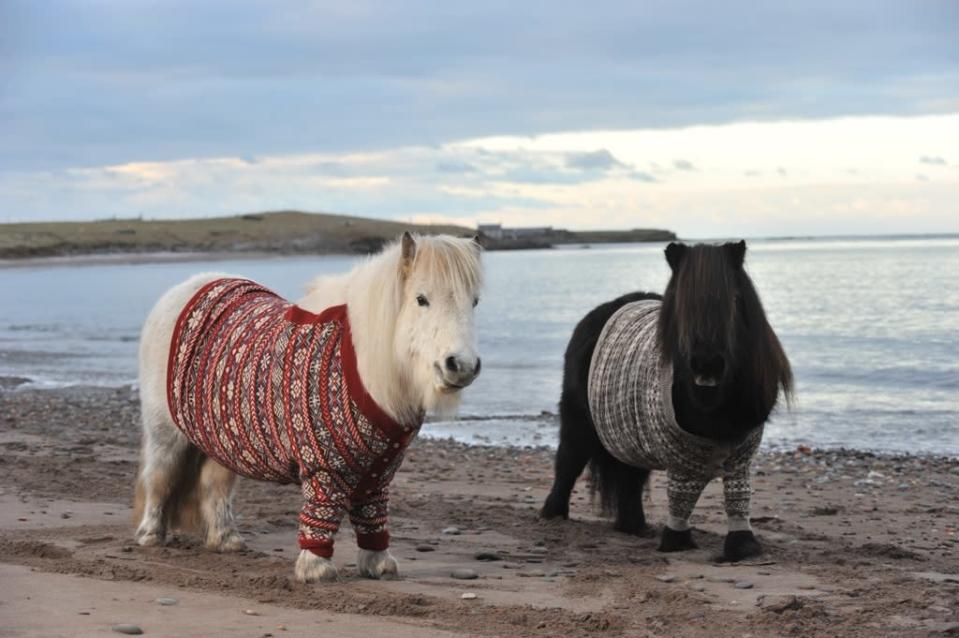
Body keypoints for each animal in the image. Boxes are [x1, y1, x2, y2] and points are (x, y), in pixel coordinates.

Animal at [131, 232, 484, 584]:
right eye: (421, 299)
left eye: (475, 301)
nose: (461, 365)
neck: (360, 362)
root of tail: (184, 289)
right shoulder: (324, 467)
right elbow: (321, 512)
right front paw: (316, 567)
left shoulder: (378, 471)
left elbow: (373, 515)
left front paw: (378, 563)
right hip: (165, 433)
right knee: (160, 476)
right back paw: (150, 535)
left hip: (223, 439)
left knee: (214, 484)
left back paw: (225, 539)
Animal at [540, 240, 796, 560]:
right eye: (681, 305)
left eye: (736, 300)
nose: (707, 364)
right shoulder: (678, 459)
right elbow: (680, 499)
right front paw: (676, 541)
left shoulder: (741, 456)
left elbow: (738, 497)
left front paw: (743, 546)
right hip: (578, 422)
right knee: (568, 462)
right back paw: (553, 514)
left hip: (629, 436)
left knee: (630, 477)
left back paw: (633, 526)